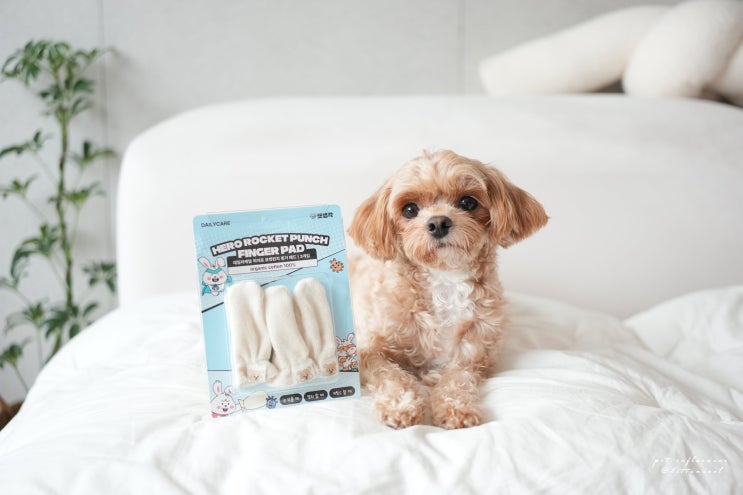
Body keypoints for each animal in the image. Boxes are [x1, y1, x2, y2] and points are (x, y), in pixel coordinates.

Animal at [348, 150, 547, 429]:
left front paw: (456, 407)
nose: (439, 223)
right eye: (410, 209)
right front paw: (401, 405)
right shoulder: (369, 351)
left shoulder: (474, 356)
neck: (444, 281)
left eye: (468, 202)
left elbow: (457, 379)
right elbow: (392, 375)